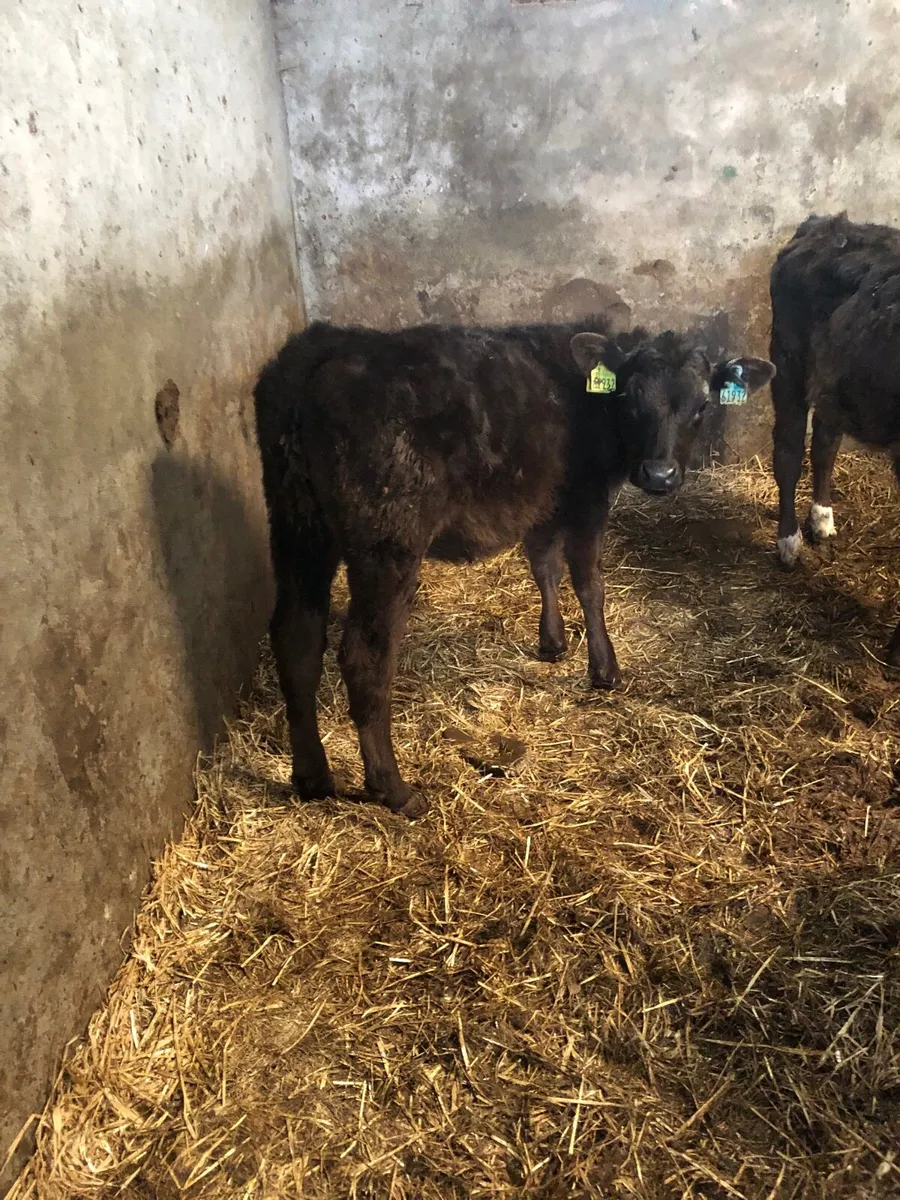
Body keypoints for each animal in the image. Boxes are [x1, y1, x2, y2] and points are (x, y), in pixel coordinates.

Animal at [254, 318, 775, 818]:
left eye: (702, 405)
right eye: (629, 400)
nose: (660, 475)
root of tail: (327, 346)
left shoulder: (542, 502)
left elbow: (544, 566)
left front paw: (553, 643)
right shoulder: (586, 499)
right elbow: (589, 583)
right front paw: (604, 669)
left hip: (296, 524)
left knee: (297, 637)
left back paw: (313, 778)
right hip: (386, 542)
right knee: (364, 655)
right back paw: (394, 789)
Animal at [769, 212, 900, 665]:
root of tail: (827, 224)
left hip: (835, 385)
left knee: (825, 445)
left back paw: (822, 519)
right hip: (788, 361)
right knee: (789, 451)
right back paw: (789, 542)